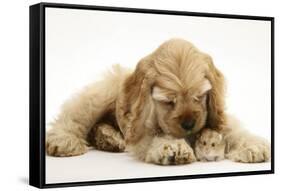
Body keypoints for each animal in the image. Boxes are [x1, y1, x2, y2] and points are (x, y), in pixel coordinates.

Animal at [46, 38, 270, 164]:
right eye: (168, 101)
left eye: (199, 96)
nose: (189, 124)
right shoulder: (141, 129)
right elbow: (158, 136)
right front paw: (173, 147)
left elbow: (232, 129)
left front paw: (253, 145)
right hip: (102, 94)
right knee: (75, 116)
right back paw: (64, 140)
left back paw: (109, 138)